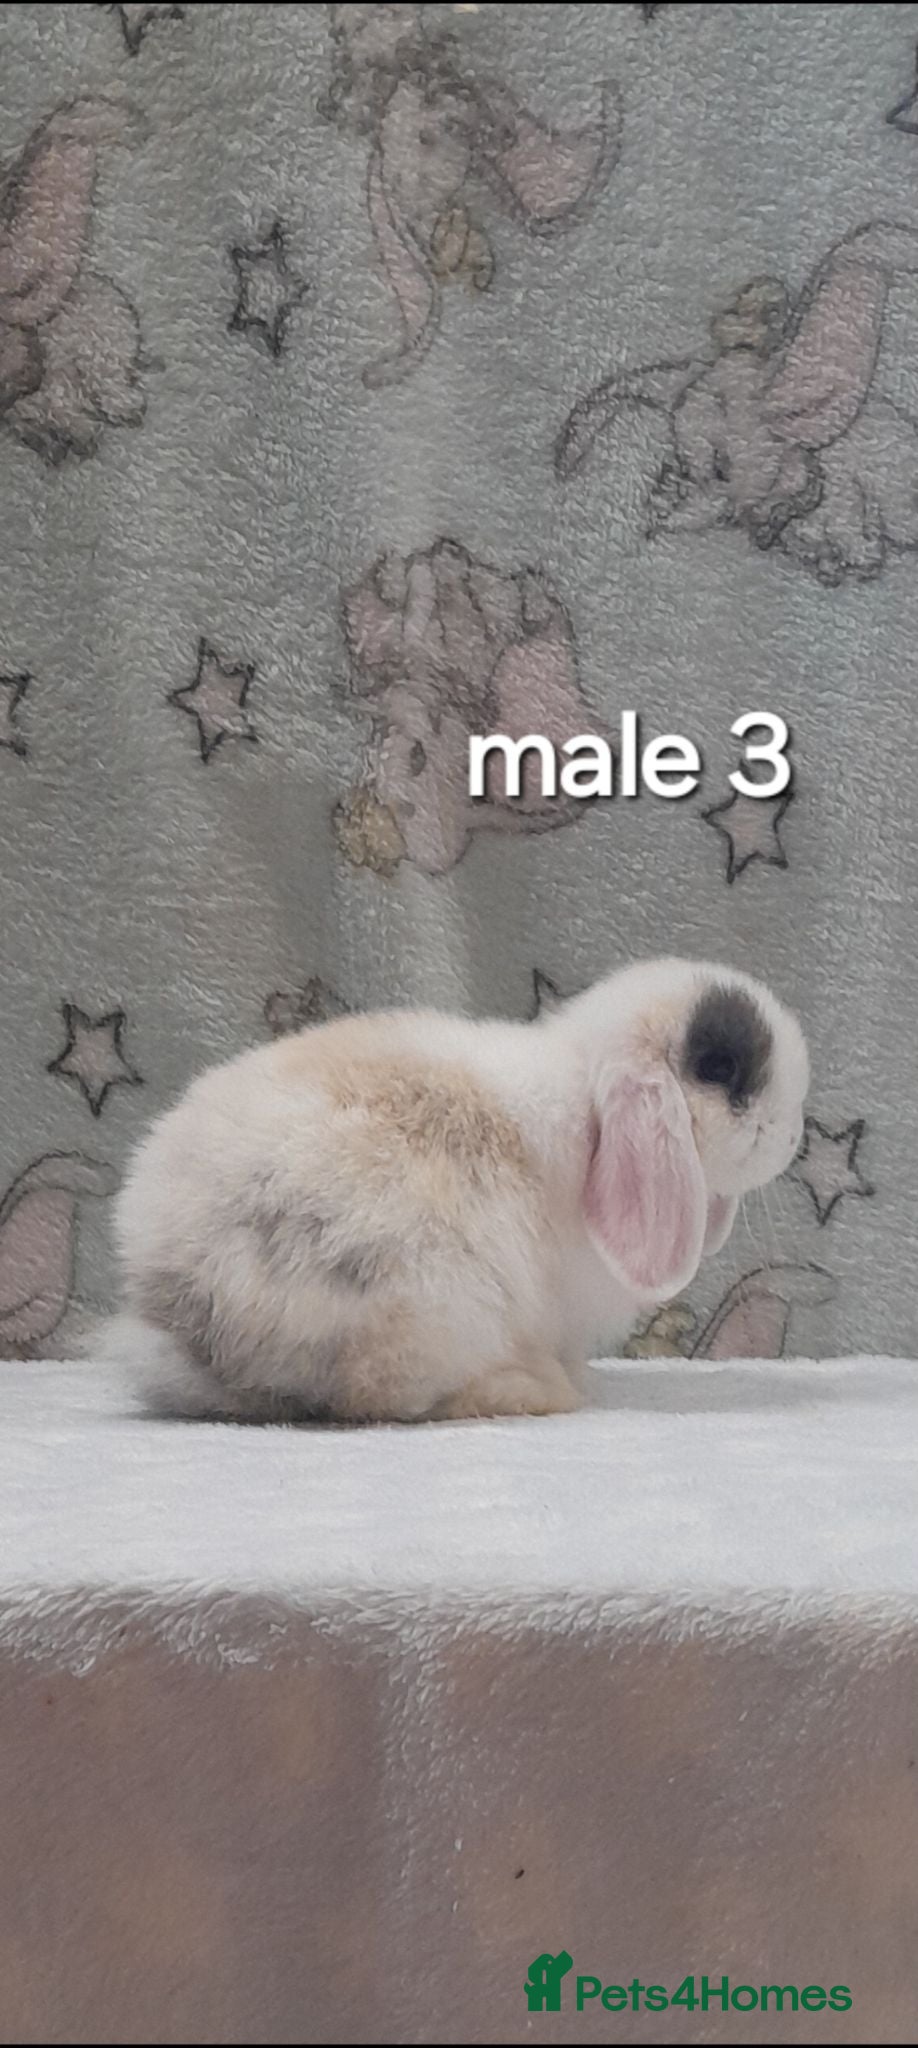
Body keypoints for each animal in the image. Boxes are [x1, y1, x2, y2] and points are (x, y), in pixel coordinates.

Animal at [106, 957, 808, 1424]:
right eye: (718, 1068)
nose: (795, 1134)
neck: (588, 1109)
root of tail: (189, 1312)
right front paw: (580, 1381)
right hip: (434, 1299)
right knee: (382, 1395)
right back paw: (539, 1391)